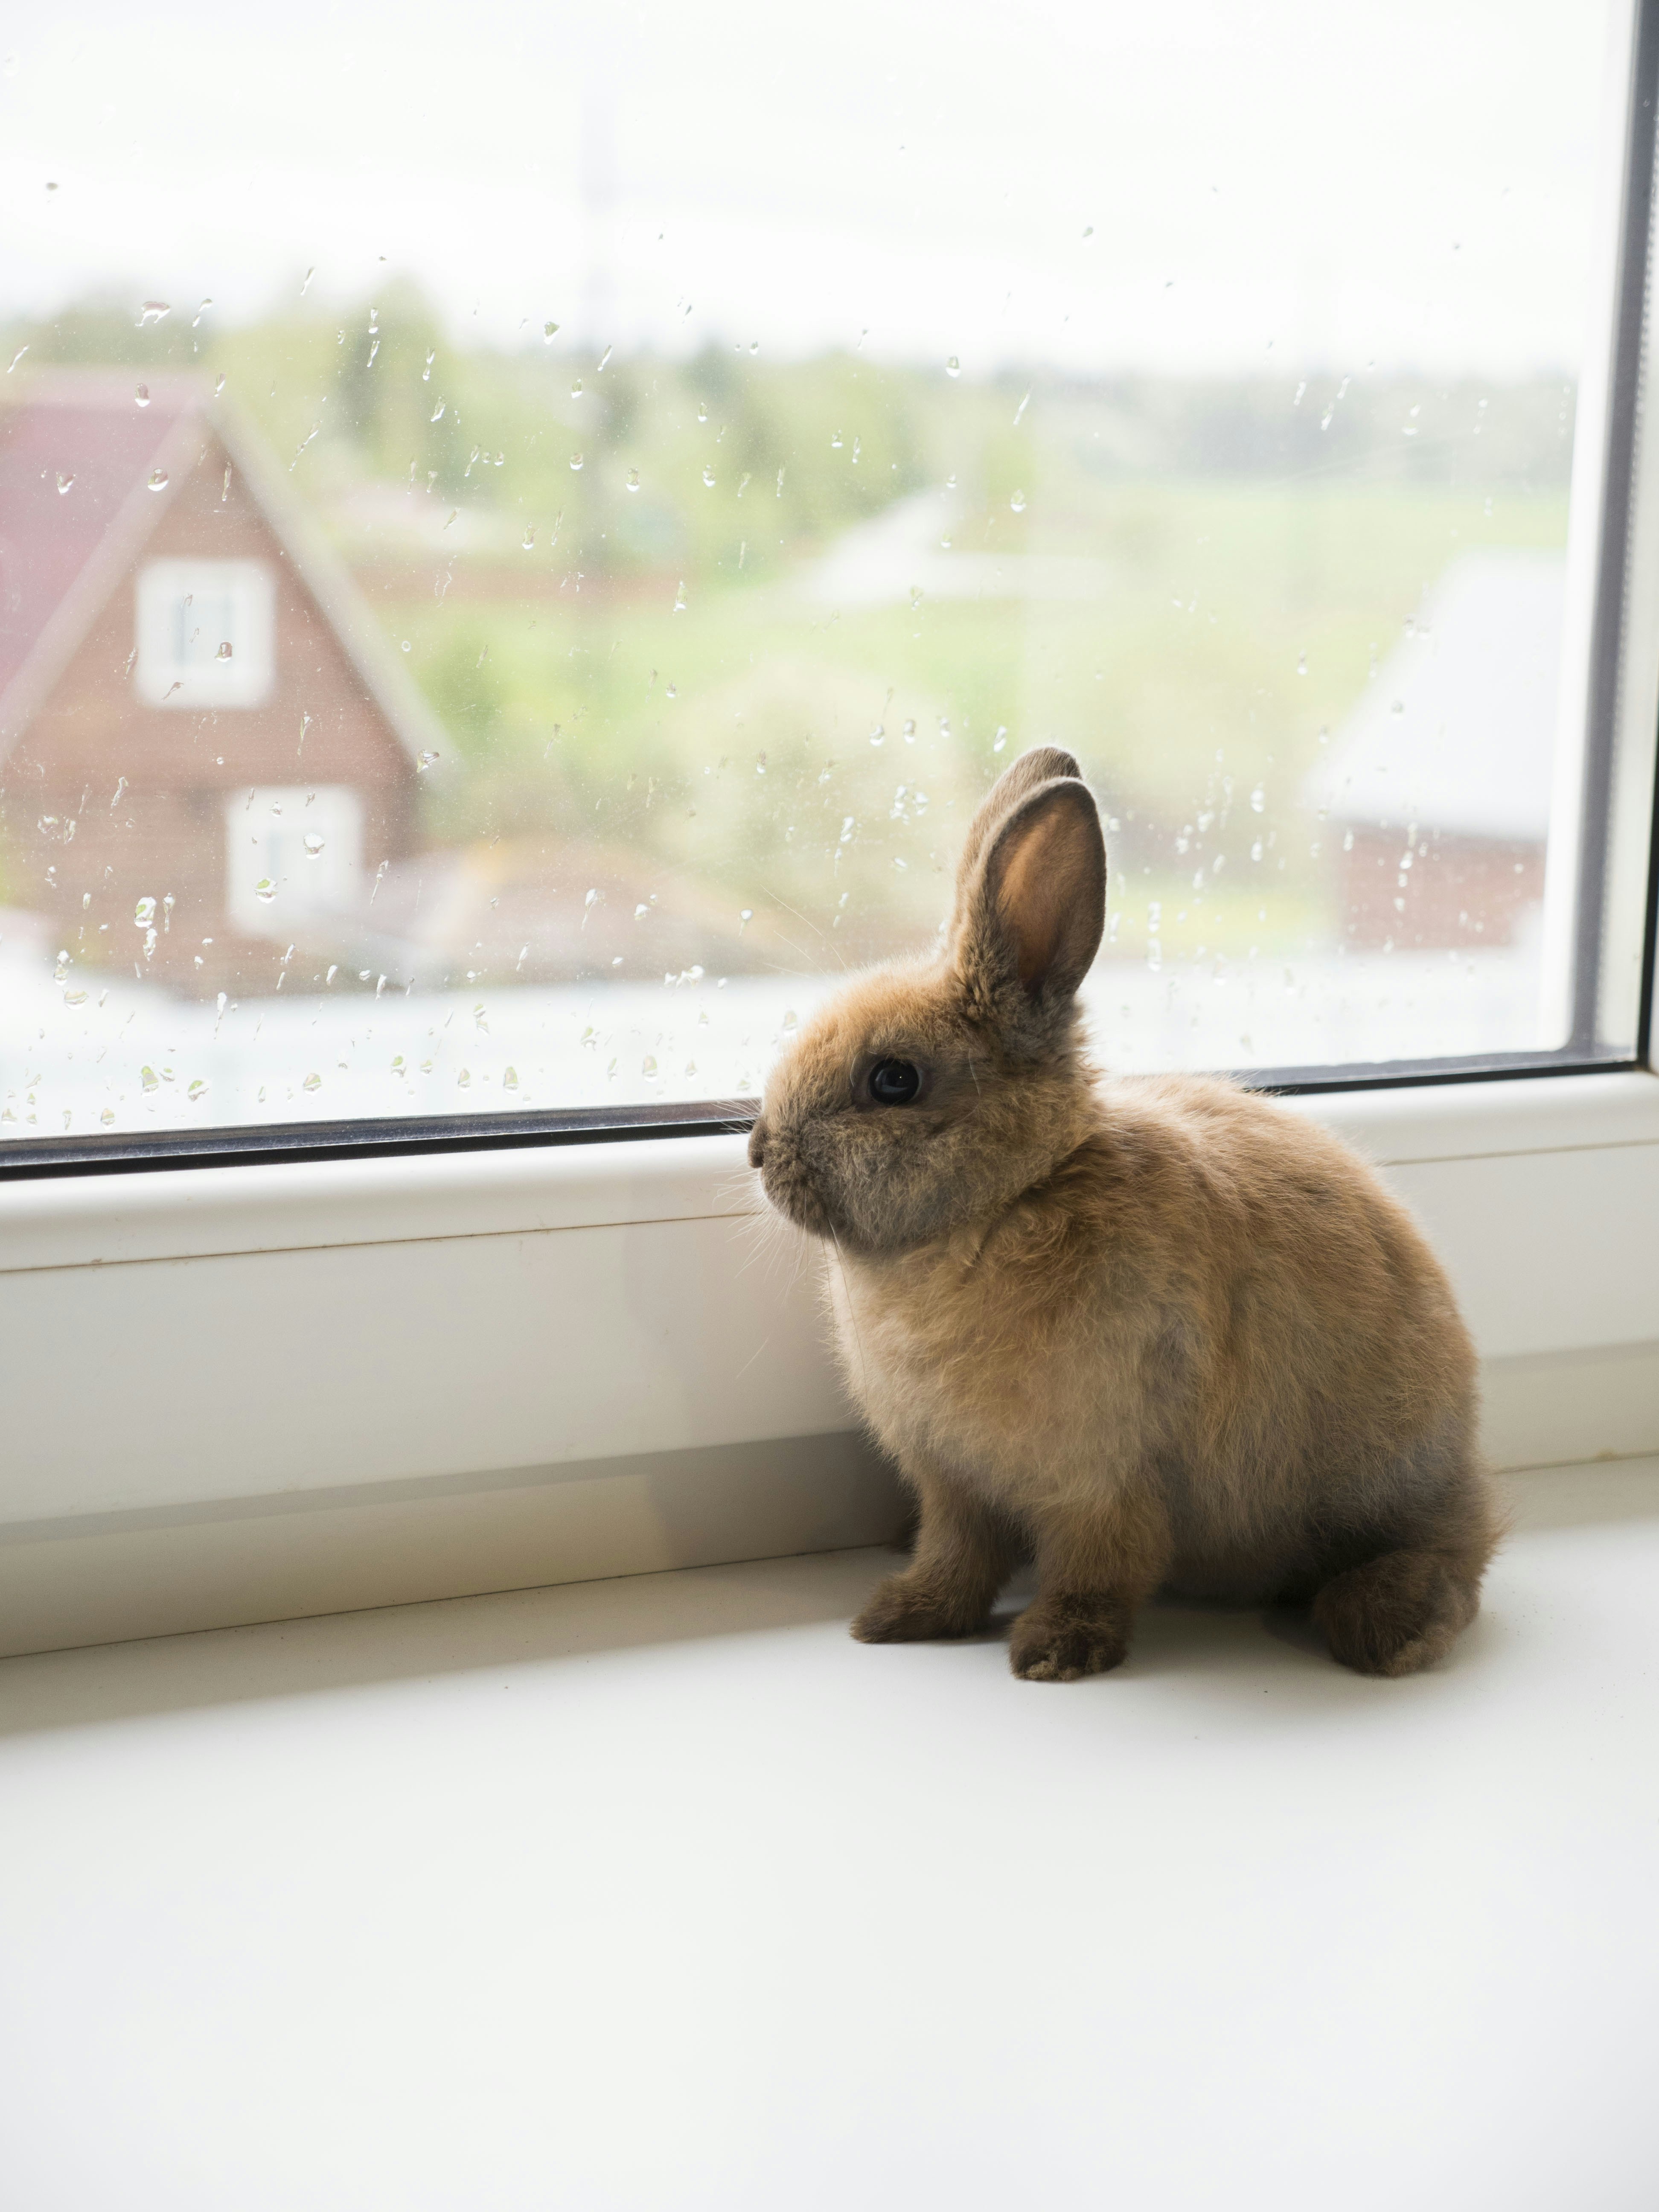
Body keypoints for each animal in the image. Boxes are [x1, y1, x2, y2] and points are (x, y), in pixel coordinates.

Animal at [747, 745, 1500, 1681]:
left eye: (893, 1080)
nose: (758, 1151)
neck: (1008, 1201)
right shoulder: (954, 1483)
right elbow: (956, 1556)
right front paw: (898, 1617)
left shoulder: (1101, 1479)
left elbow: (1099, 1566)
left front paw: (1055, 1652)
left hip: (1388, 1486)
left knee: (1454, 1560)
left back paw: (1385, 1629)